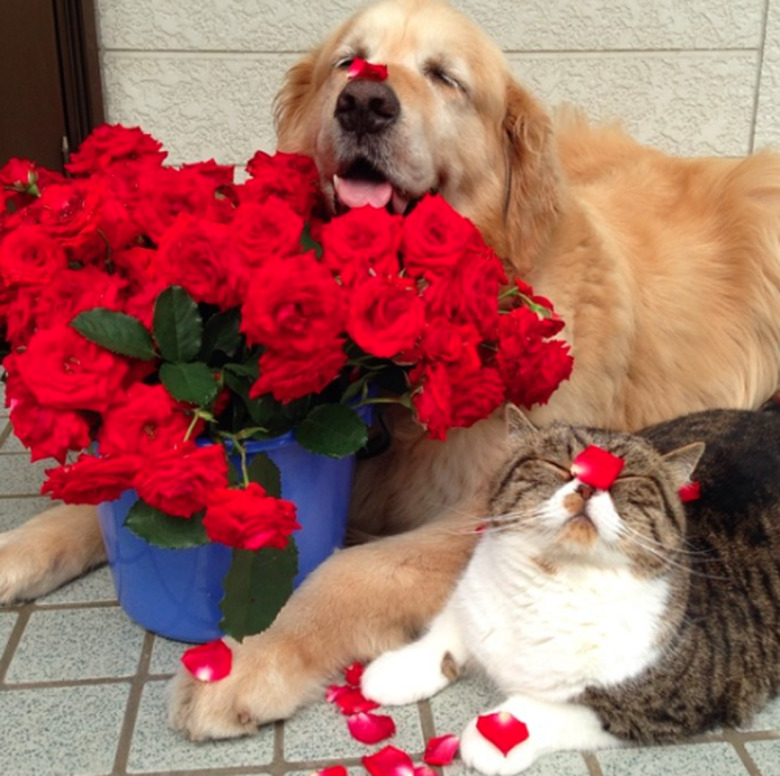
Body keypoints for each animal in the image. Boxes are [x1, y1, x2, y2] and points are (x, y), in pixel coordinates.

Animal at [360, 406, 780, 768]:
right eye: (557, 466)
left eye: (627, 480)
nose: (588, 488)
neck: (552, 581)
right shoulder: (472, 598)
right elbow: (446, 634)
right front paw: (396, 671)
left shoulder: (663, 703)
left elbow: (557, 709)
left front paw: (491, 738)